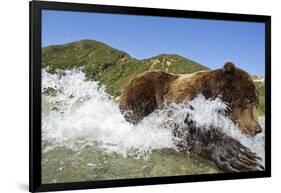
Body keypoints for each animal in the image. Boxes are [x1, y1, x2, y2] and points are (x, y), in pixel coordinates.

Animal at [119, 61, 264, 172]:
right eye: (249, 99)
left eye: (256, 103)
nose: (258, 129)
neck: (212, 93)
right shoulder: (186, 98)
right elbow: (181, 127)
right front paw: (239, 157)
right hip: (144, 91)